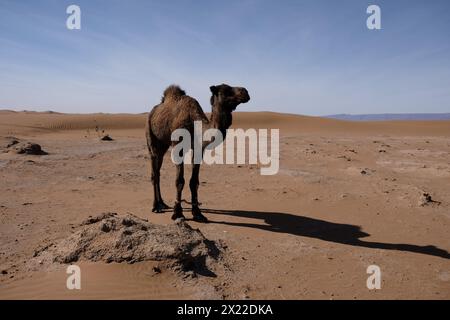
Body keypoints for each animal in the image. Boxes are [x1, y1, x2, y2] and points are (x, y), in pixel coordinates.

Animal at [145, 84, 250, 221]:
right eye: (225, 90)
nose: (245, 92)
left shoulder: (199, 149)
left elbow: (194, 182)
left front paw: (198, 213)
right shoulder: (178, 146)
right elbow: (179, 181)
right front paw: (178, 213)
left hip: (163, 145)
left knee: (158, 171)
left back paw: (162, 203)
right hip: (151, 137)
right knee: (154, 171)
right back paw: (156, 206)